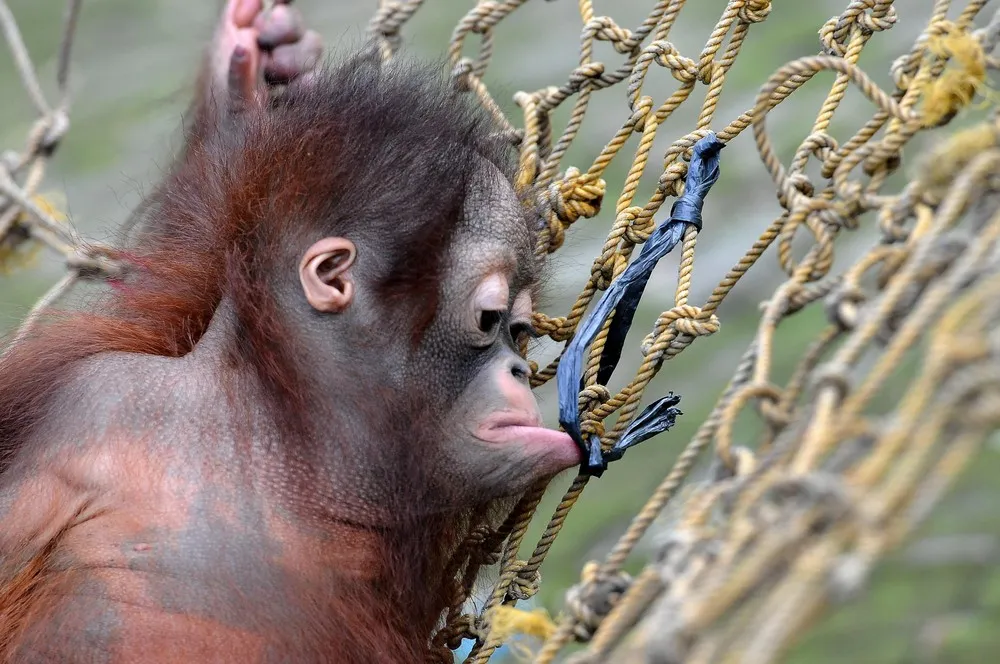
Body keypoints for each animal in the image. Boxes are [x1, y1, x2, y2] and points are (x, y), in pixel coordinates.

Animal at [0, 1, 582, 661]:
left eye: (520, 329)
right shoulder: (89, 402)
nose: (518, 369)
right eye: (489, 320)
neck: (278, 442)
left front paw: (244, 77)